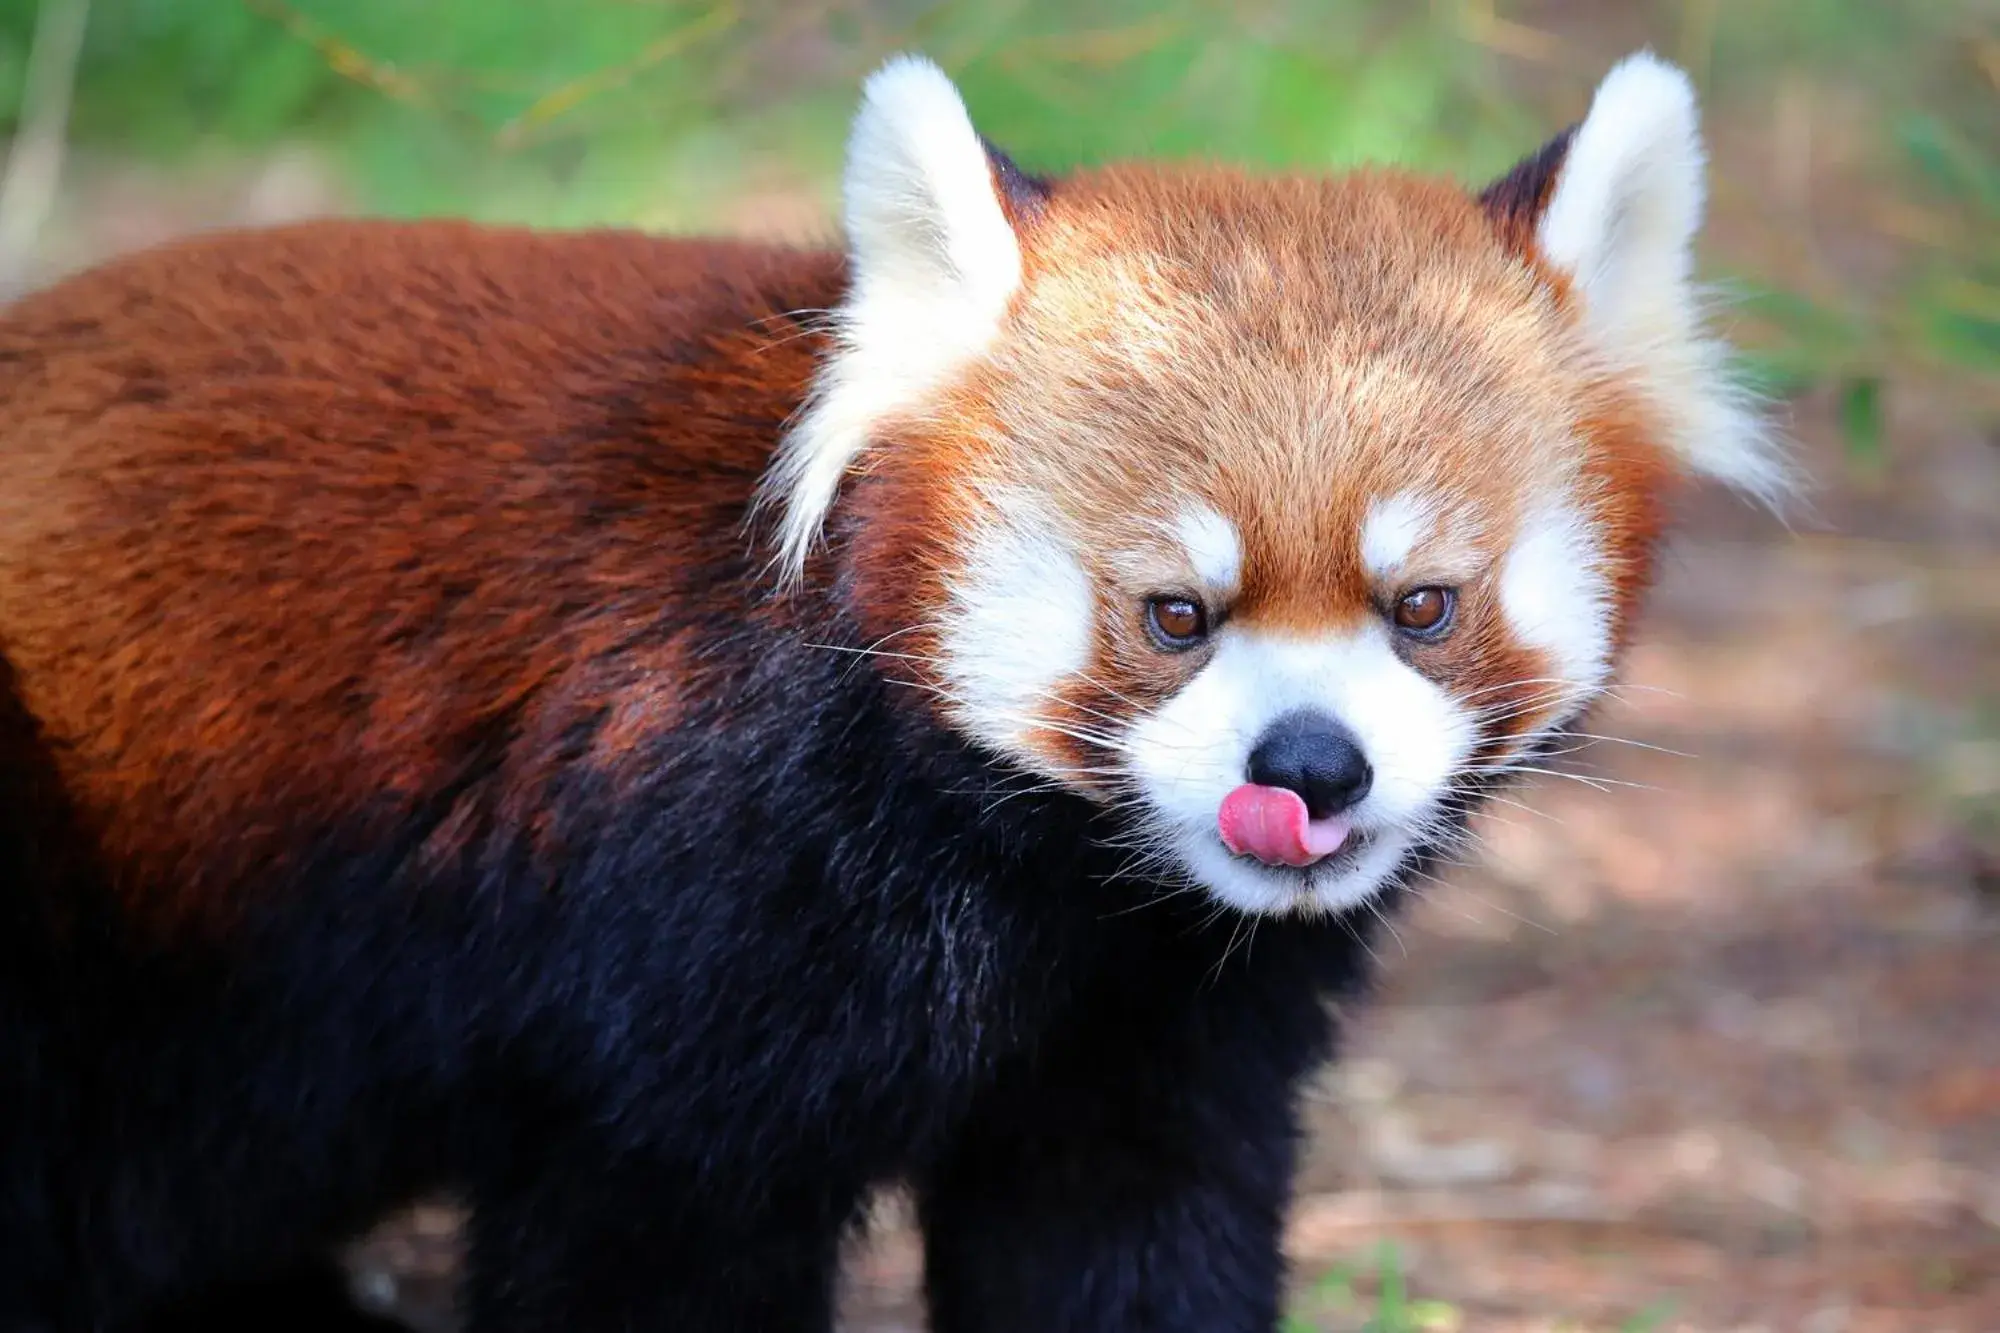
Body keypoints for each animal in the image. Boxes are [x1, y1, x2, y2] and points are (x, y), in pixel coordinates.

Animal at [0, 46, 1784, 1328]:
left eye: (1422, 607)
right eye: (1174, 614)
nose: (1310, 766)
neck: (1047, 886)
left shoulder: (1156, 1023)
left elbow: (1125, 1227)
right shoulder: (669, 905)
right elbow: (647, 1247)